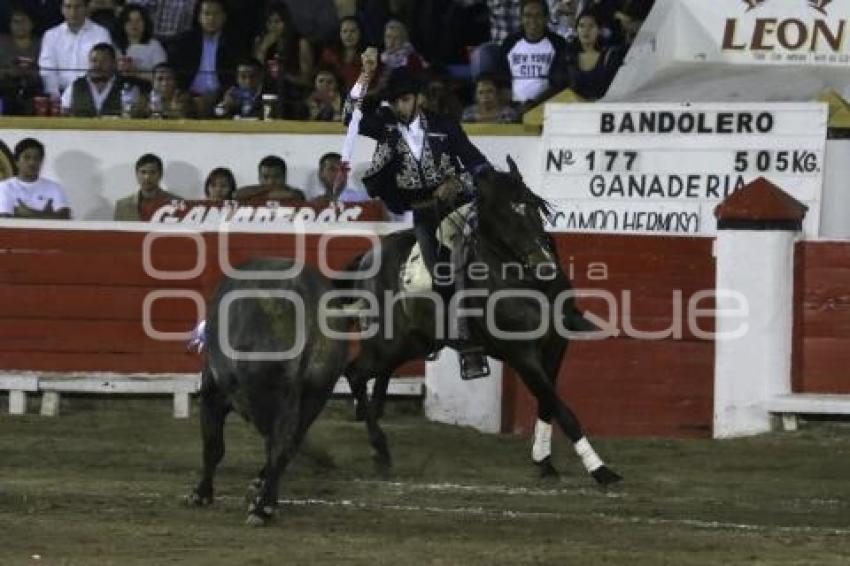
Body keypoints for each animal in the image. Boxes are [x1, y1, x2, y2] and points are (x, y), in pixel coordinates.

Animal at [186, 260, 364, 524]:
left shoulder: (212, 392)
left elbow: (213, 445)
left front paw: (201, 494)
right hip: (316, 395)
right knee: (287, 445)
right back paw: (267, 500)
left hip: (271, 395)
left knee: (276, 445)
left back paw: (262, 507)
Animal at [342, 158, 620, 486]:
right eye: (501, 215)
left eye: (534, 206)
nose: (544, 265)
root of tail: (368, 256)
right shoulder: (521, 354)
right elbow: (561, 408)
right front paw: (601, 470)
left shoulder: (555, 346)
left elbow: (547, 402)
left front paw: (544, 461)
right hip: (386, 343)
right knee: (355, 374)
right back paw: (380, 449)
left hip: (412, 344)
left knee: (372, 376)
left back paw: (378, 446)